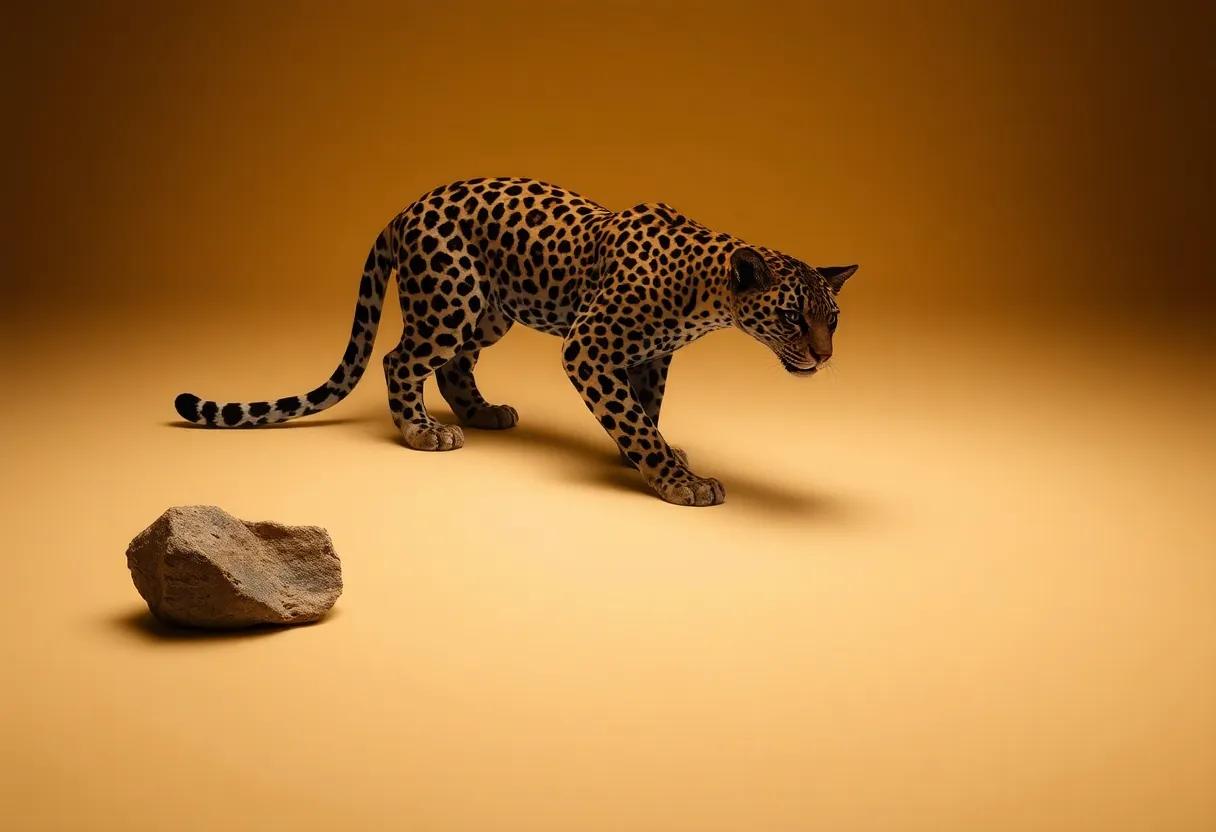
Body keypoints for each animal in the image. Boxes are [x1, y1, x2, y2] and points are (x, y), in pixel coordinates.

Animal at [174, 177, 857, 506]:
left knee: (453, 366)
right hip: (450, 300)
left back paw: (481, 413)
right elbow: (631, 417)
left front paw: (656, 455)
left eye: (833, 320)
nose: (824, 357)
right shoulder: (589, 346)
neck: (705, 292)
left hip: (489, 312)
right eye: (793, 318)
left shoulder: (650, 356)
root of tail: (405, 208)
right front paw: (675, 480)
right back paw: (421, 431)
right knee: (400, 358)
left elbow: (644, 411)